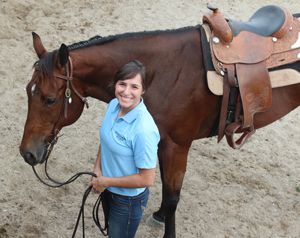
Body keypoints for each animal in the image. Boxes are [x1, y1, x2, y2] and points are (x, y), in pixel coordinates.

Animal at [20, 21, 300, 236]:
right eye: (27, 91)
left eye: (50, 99)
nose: (27, 153)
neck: (162, 72)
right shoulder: (161, 143)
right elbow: (166, 190)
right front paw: (160, 215)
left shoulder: (177, 146)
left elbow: (172, 196)